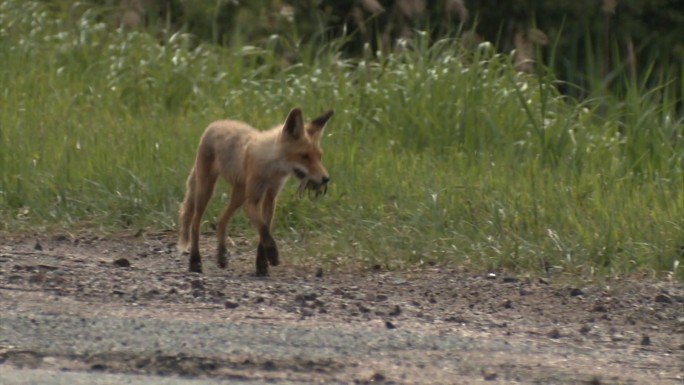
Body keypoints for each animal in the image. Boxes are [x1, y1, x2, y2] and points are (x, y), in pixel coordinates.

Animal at [179, 108, 334, 276]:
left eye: (319, 156)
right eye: (304, 156)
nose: (326, 179)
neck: (271, 169)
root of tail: (215, 124)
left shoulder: (271, 198)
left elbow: (263, 233)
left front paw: (261, 264)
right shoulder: (252, 201)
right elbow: (264, 230)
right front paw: (272, 254)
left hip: (239, 195)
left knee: (221, 220)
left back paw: (221, 255)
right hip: (207, 190)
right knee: (195, 223)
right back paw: (195, 261)